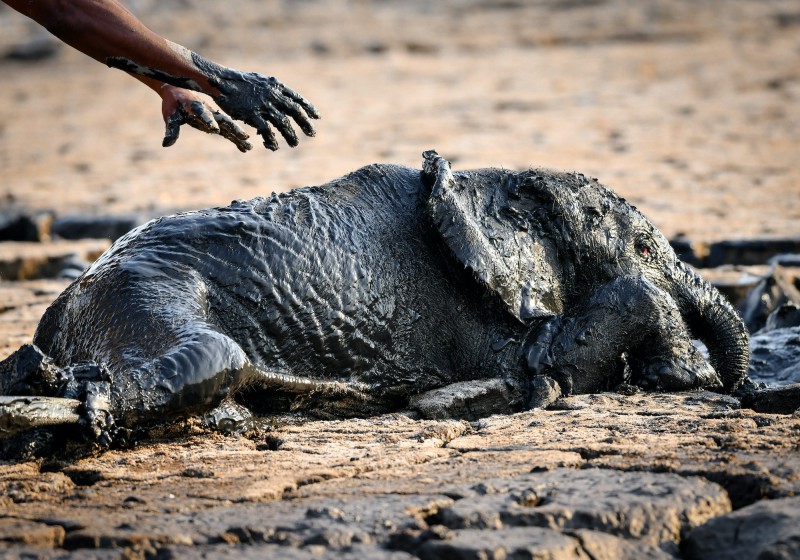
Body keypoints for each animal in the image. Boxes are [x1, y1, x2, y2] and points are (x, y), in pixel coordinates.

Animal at [1, 151, 752, 444]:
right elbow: (547, 362)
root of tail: (57, 315)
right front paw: (677, 375)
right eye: (645, 247)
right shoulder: (475, 304)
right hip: (137, 296)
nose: (733, 384)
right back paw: (67, 401)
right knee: (213, 357)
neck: (489, 177)